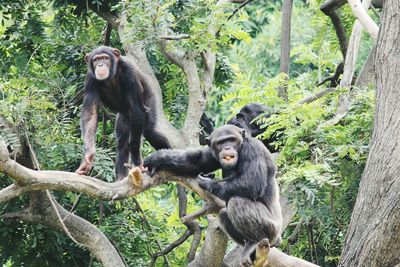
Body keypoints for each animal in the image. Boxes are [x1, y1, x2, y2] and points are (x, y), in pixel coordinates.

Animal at [76, 46, 170, 181]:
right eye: (96, 60)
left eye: (105, 58)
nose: (100, 64)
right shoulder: (90, 78)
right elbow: (90, 113)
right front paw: (88, 158)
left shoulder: (130, 73)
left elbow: (136, 110)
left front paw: (137, 163)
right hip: (123, 116)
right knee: (122, 143)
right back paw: (121, 177)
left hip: (151, 100)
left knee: (150, 131)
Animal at [143, 125, 282, 267]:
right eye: (221, 142)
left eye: (232, 140)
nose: (227, 148)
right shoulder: (211, 153)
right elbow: (195, 162)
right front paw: (157, 159)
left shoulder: (253, 148)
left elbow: (252, 182)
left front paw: (207, 182)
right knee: (224, 214)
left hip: (272, 229)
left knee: (237, 202)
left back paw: (254, 242)